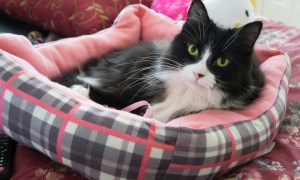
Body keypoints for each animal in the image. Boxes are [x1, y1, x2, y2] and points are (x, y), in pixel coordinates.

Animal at [52, 0, 264, 122]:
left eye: (222, 62)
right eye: (193, 49)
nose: (198, 74)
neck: (188, 91)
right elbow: (118, 99)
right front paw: (80, 91)